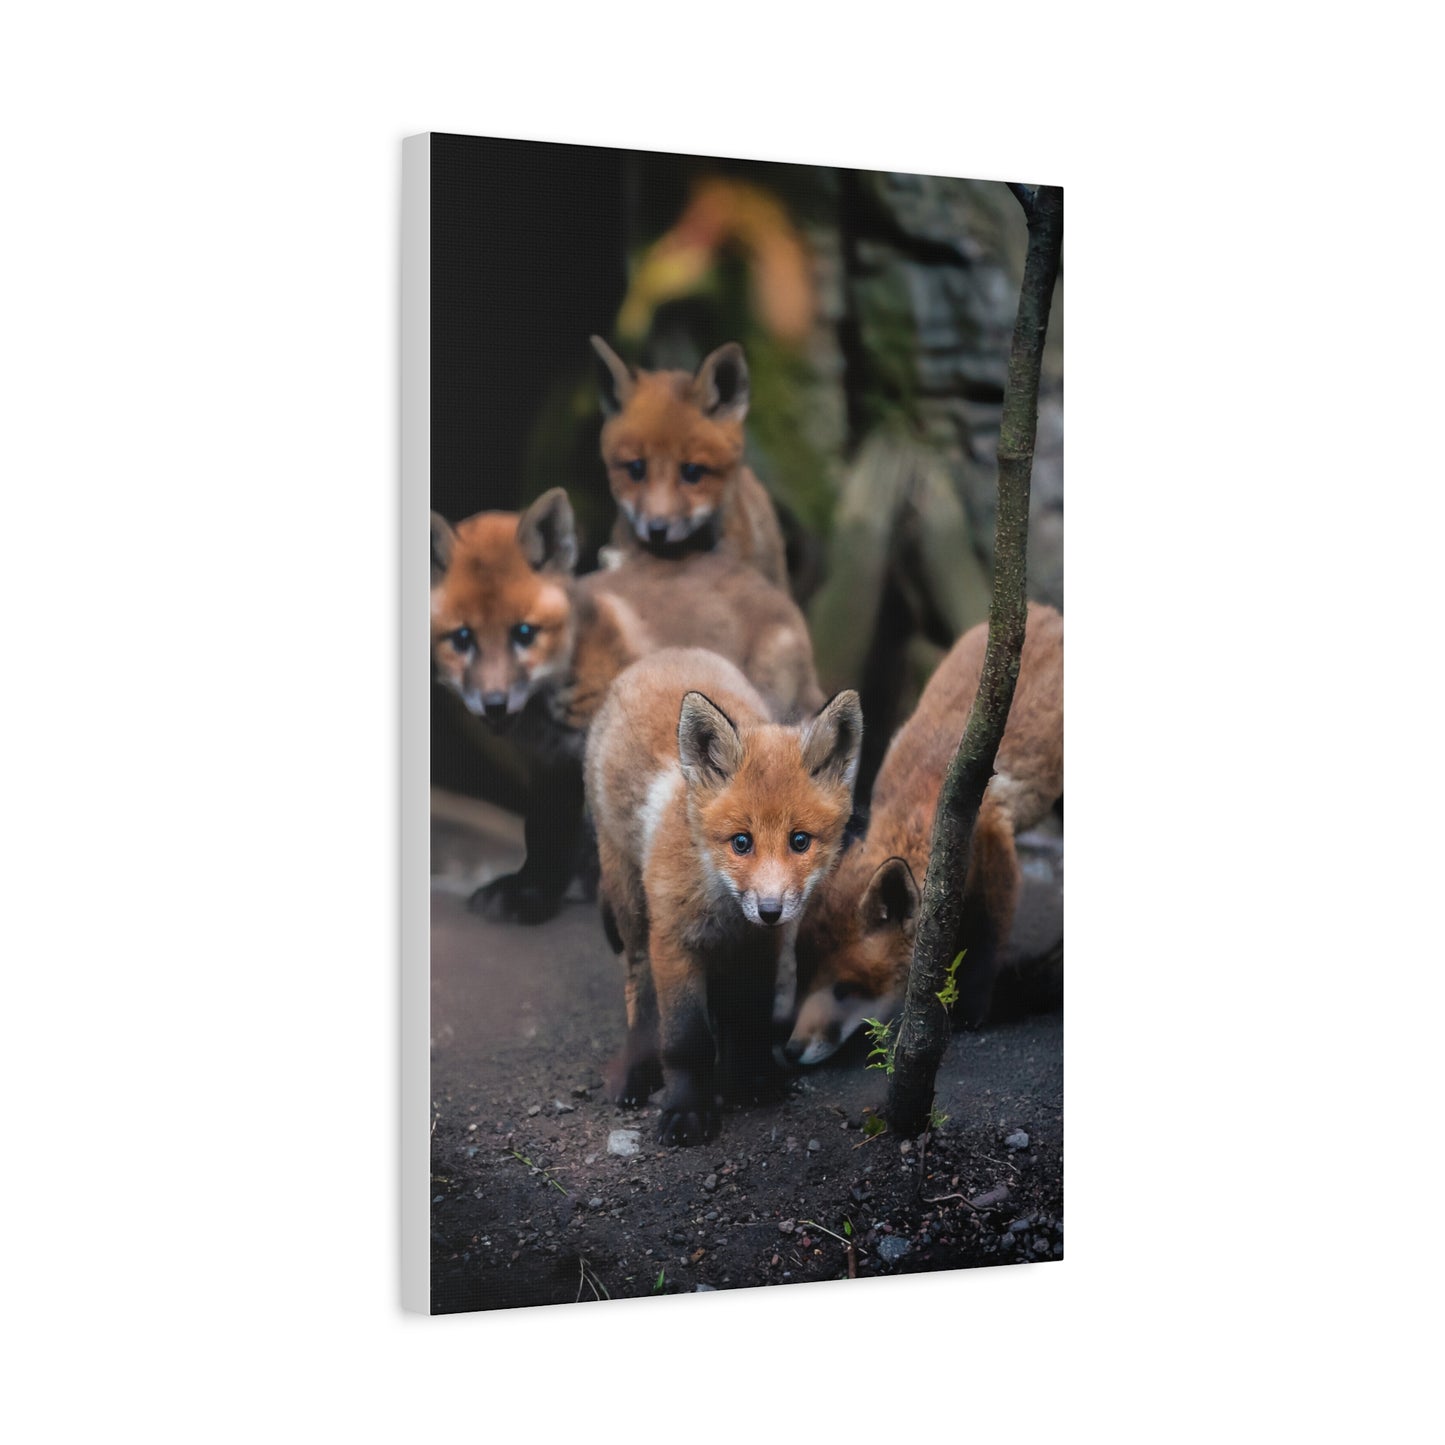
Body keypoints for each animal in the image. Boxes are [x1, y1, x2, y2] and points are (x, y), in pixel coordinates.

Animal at [430, 488, 824, 925]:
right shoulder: (551, 763)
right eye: (463, 639)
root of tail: (771, 590)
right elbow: (543, 831)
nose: (495, 704)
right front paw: (531, 890)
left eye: (524, 633)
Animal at [586, 648, 864, 1145]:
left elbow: (748, 1019)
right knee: (639, 988)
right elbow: (685, 1040)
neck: (725, 910)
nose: (770, 910)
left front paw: (750, 1081)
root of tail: (667, 653)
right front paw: (686, 1111)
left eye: (799, 841)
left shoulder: (759, 947)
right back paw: (636, 1072)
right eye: (741, 842)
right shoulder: (674, 941)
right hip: (631, 908)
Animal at [785, 603, 1064, 1066]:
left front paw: (968, 1011)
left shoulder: (994, 848)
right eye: (803, 979)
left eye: (845, 990)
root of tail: (1045, 611)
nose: (791, 1050)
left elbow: (986, 939)